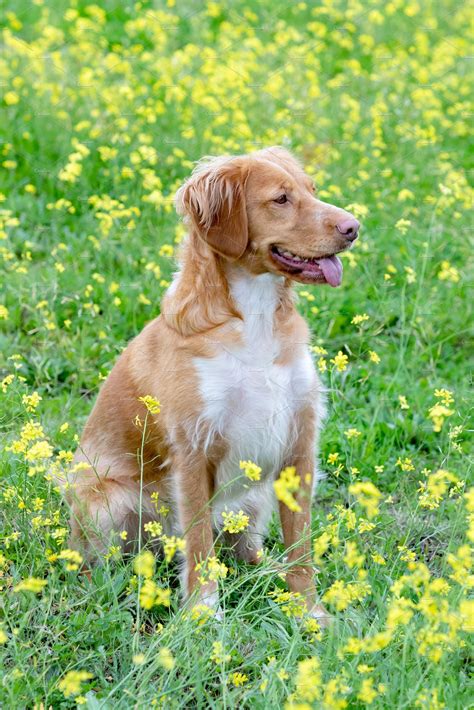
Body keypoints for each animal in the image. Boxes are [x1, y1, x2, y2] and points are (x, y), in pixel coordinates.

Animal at [64, 146, 360, 624]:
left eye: (313, 190)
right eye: (281, 199)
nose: (354, 228)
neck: (254, 317)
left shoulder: (299, 444)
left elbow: (301, 548)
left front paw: (308, 613)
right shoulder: (194, 449)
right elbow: (199, 542)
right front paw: (202, 615)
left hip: (253, 499)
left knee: (246, 552)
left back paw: (267, 575)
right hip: (108, 502)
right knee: (93, 565)